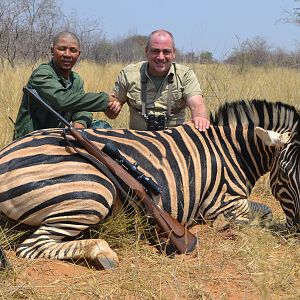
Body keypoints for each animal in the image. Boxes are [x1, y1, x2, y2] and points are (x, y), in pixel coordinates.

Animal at [0, 99, 298, 270]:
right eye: (285, 172)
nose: (296, 232)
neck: (231, 150)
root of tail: (5, 154)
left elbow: (265, 213)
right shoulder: (223, 204)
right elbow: (263, 215)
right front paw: (227, 227)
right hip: (94, 192)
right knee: (31, 247)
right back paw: (103, 253)